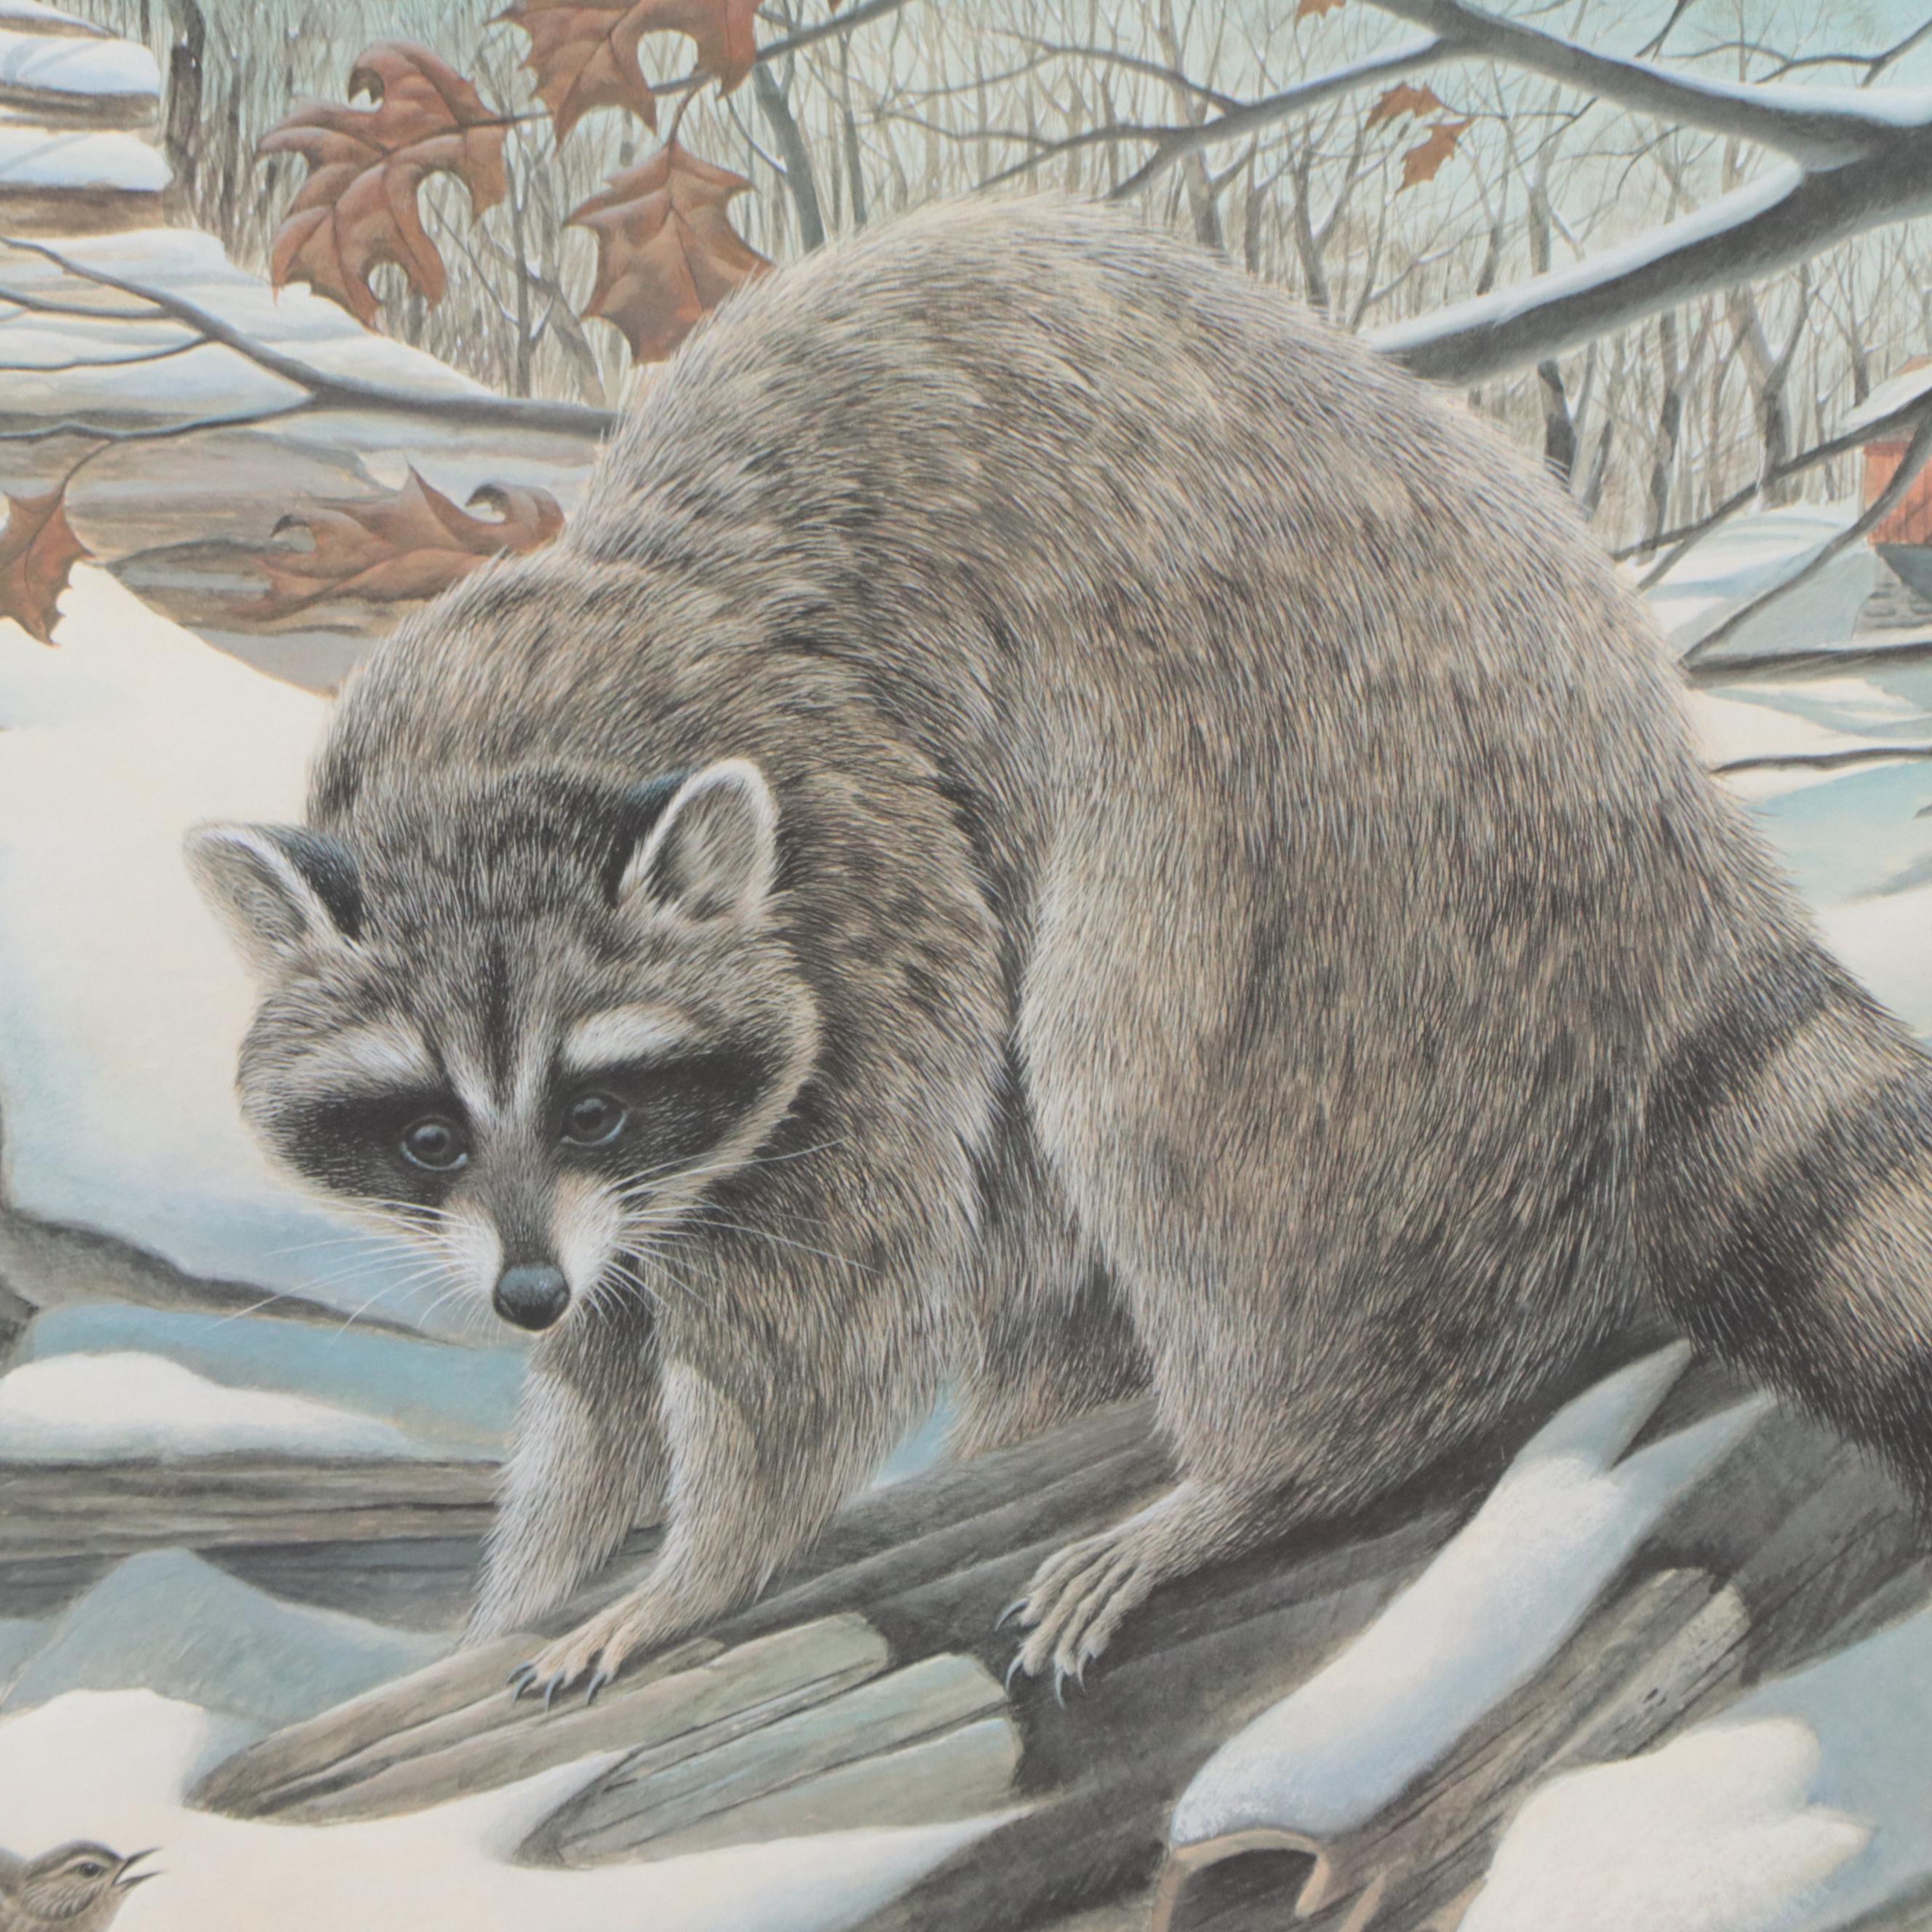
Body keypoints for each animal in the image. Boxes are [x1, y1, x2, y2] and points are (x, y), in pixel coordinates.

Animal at [188, 197, 1932, 1702]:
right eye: (423, 1131)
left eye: (598, 1102)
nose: (523, 1293)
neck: (492, 779)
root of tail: (1658, 788)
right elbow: (613, 1358)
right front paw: (534, 1567)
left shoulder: (864, 849)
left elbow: (835, 1277)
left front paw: (703, 1559)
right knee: (1053, 1199)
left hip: (1330, 831)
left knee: (1154, 1087)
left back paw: (1264, 1464)